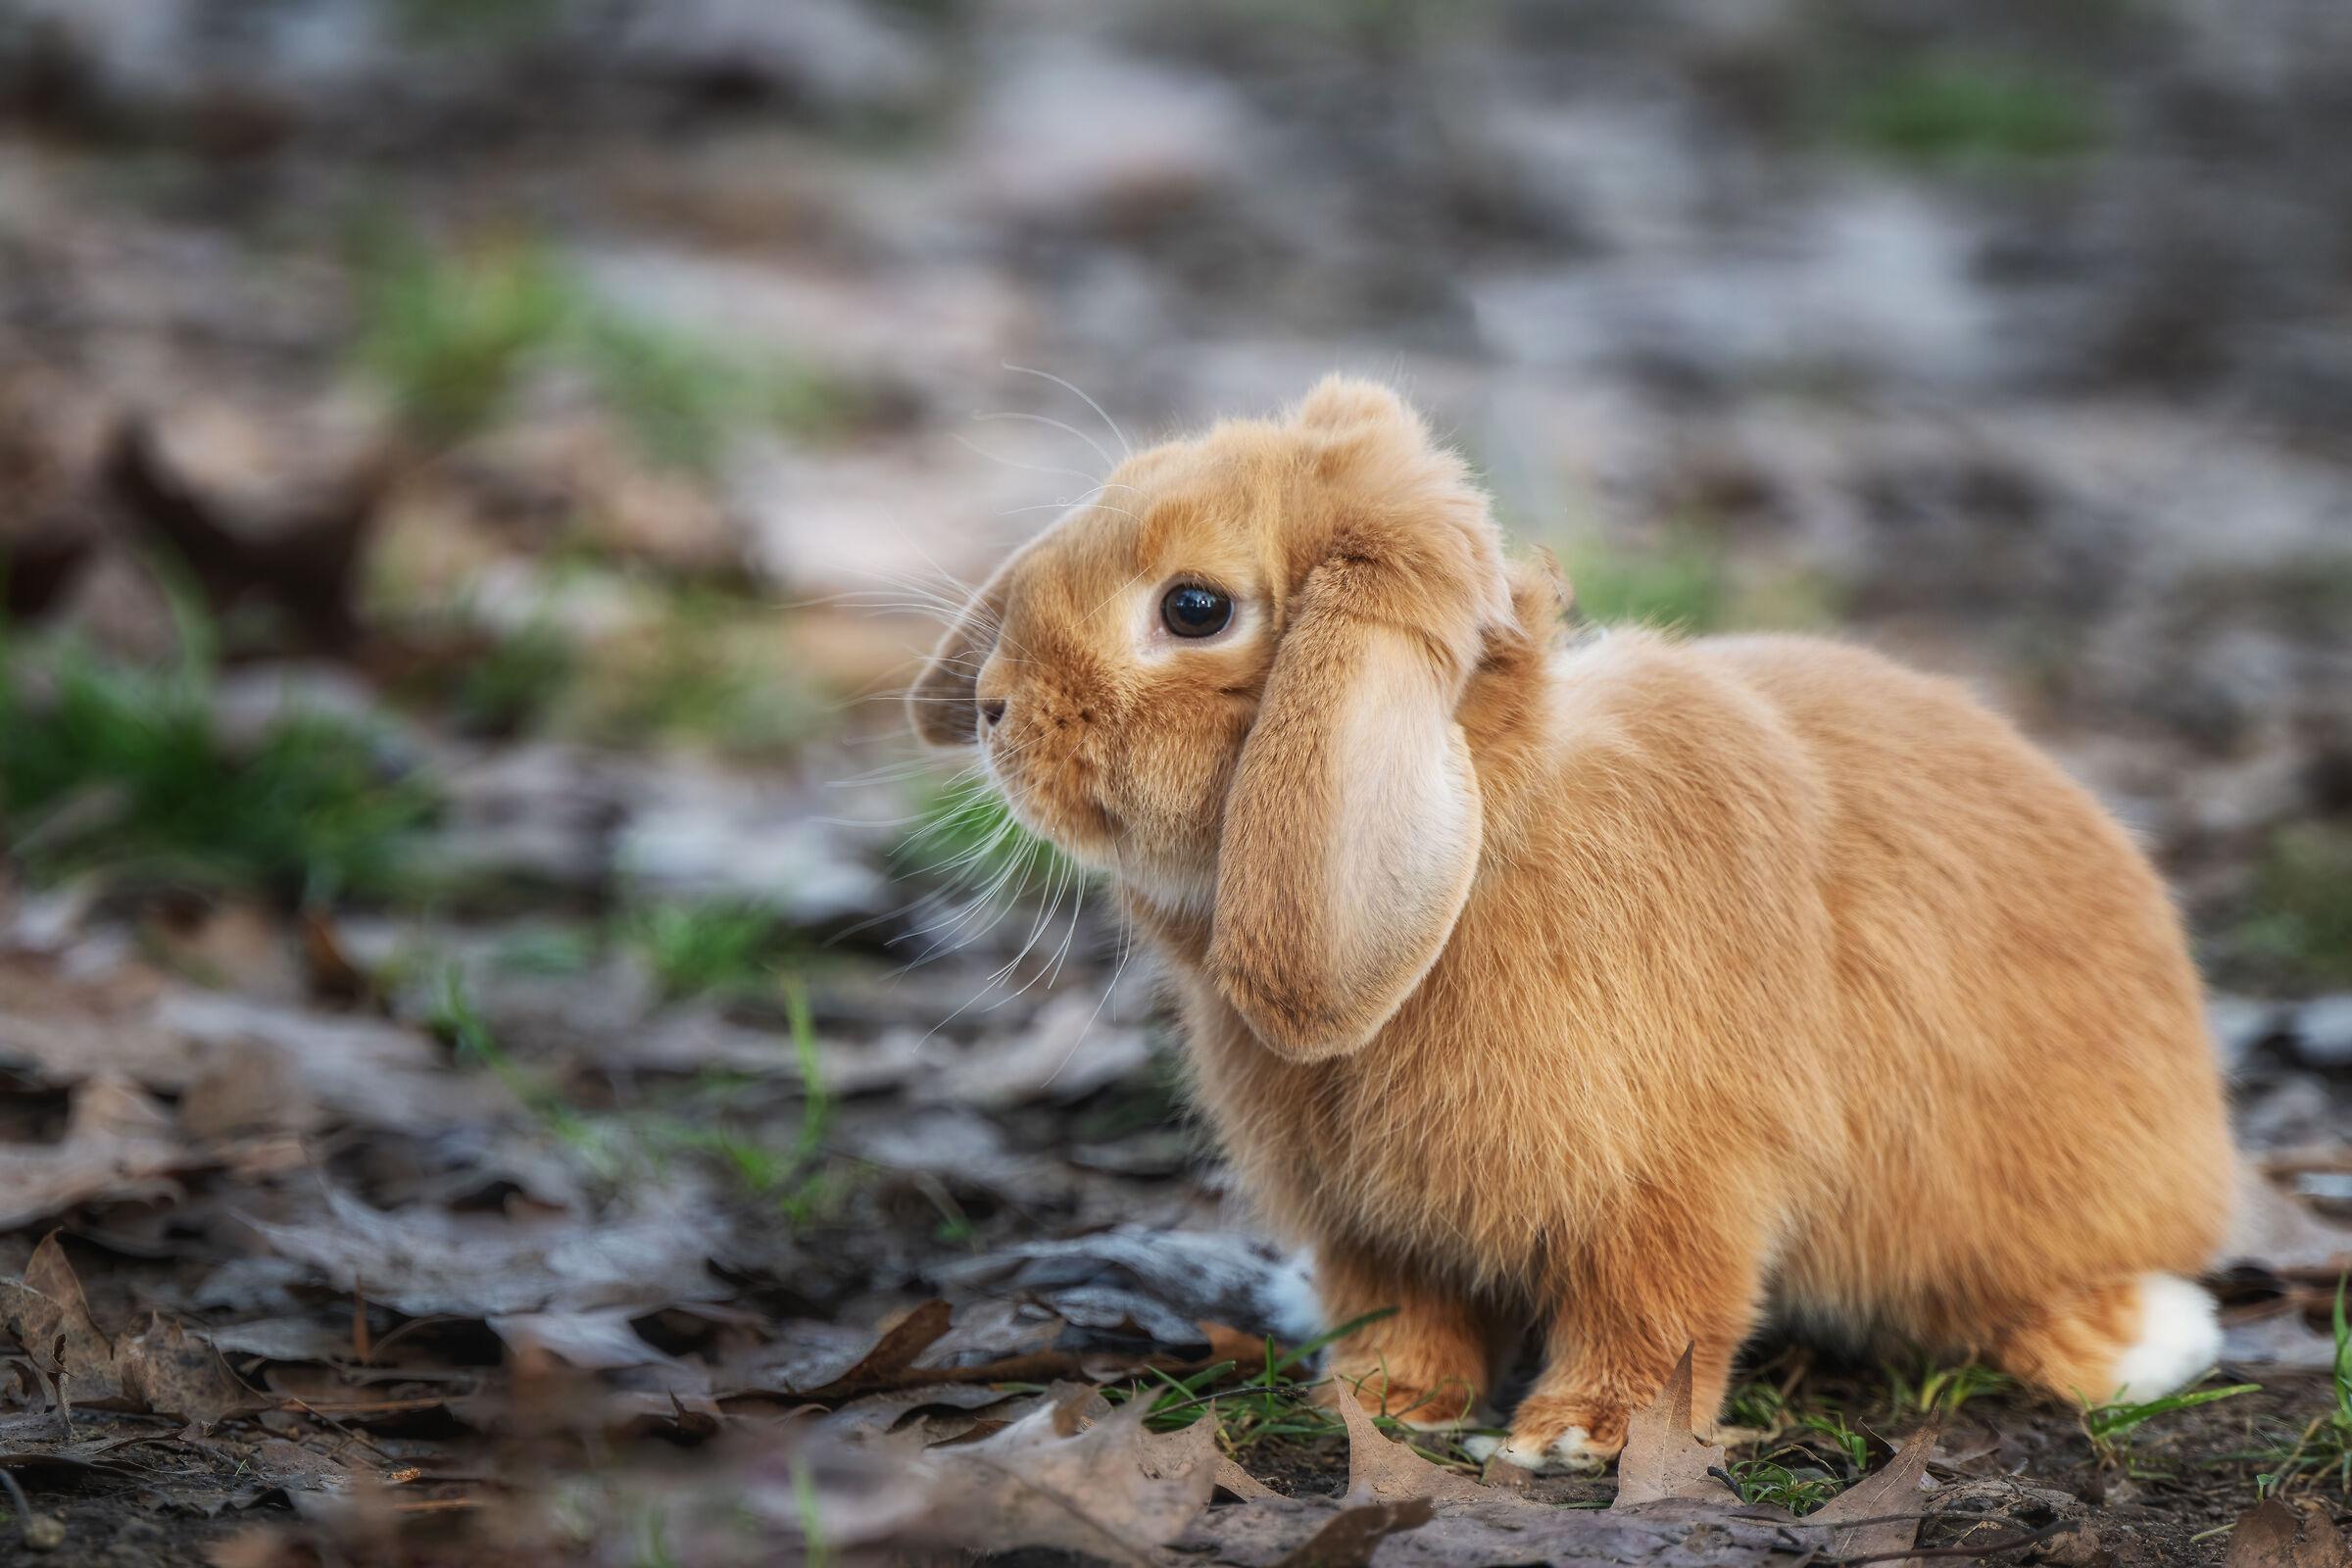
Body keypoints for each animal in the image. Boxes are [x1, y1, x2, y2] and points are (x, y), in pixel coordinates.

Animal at [910, 377, 2235, 1472]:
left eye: (1193, 608)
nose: (993, 707)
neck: (1482, 849)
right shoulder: (1379, 1224)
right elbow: (1408, 1312)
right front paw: (1380, 1405)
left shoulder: (1671, 1186)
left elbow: (1656, 1318)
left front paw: (1568, 1439)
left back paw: (2140, 1338)